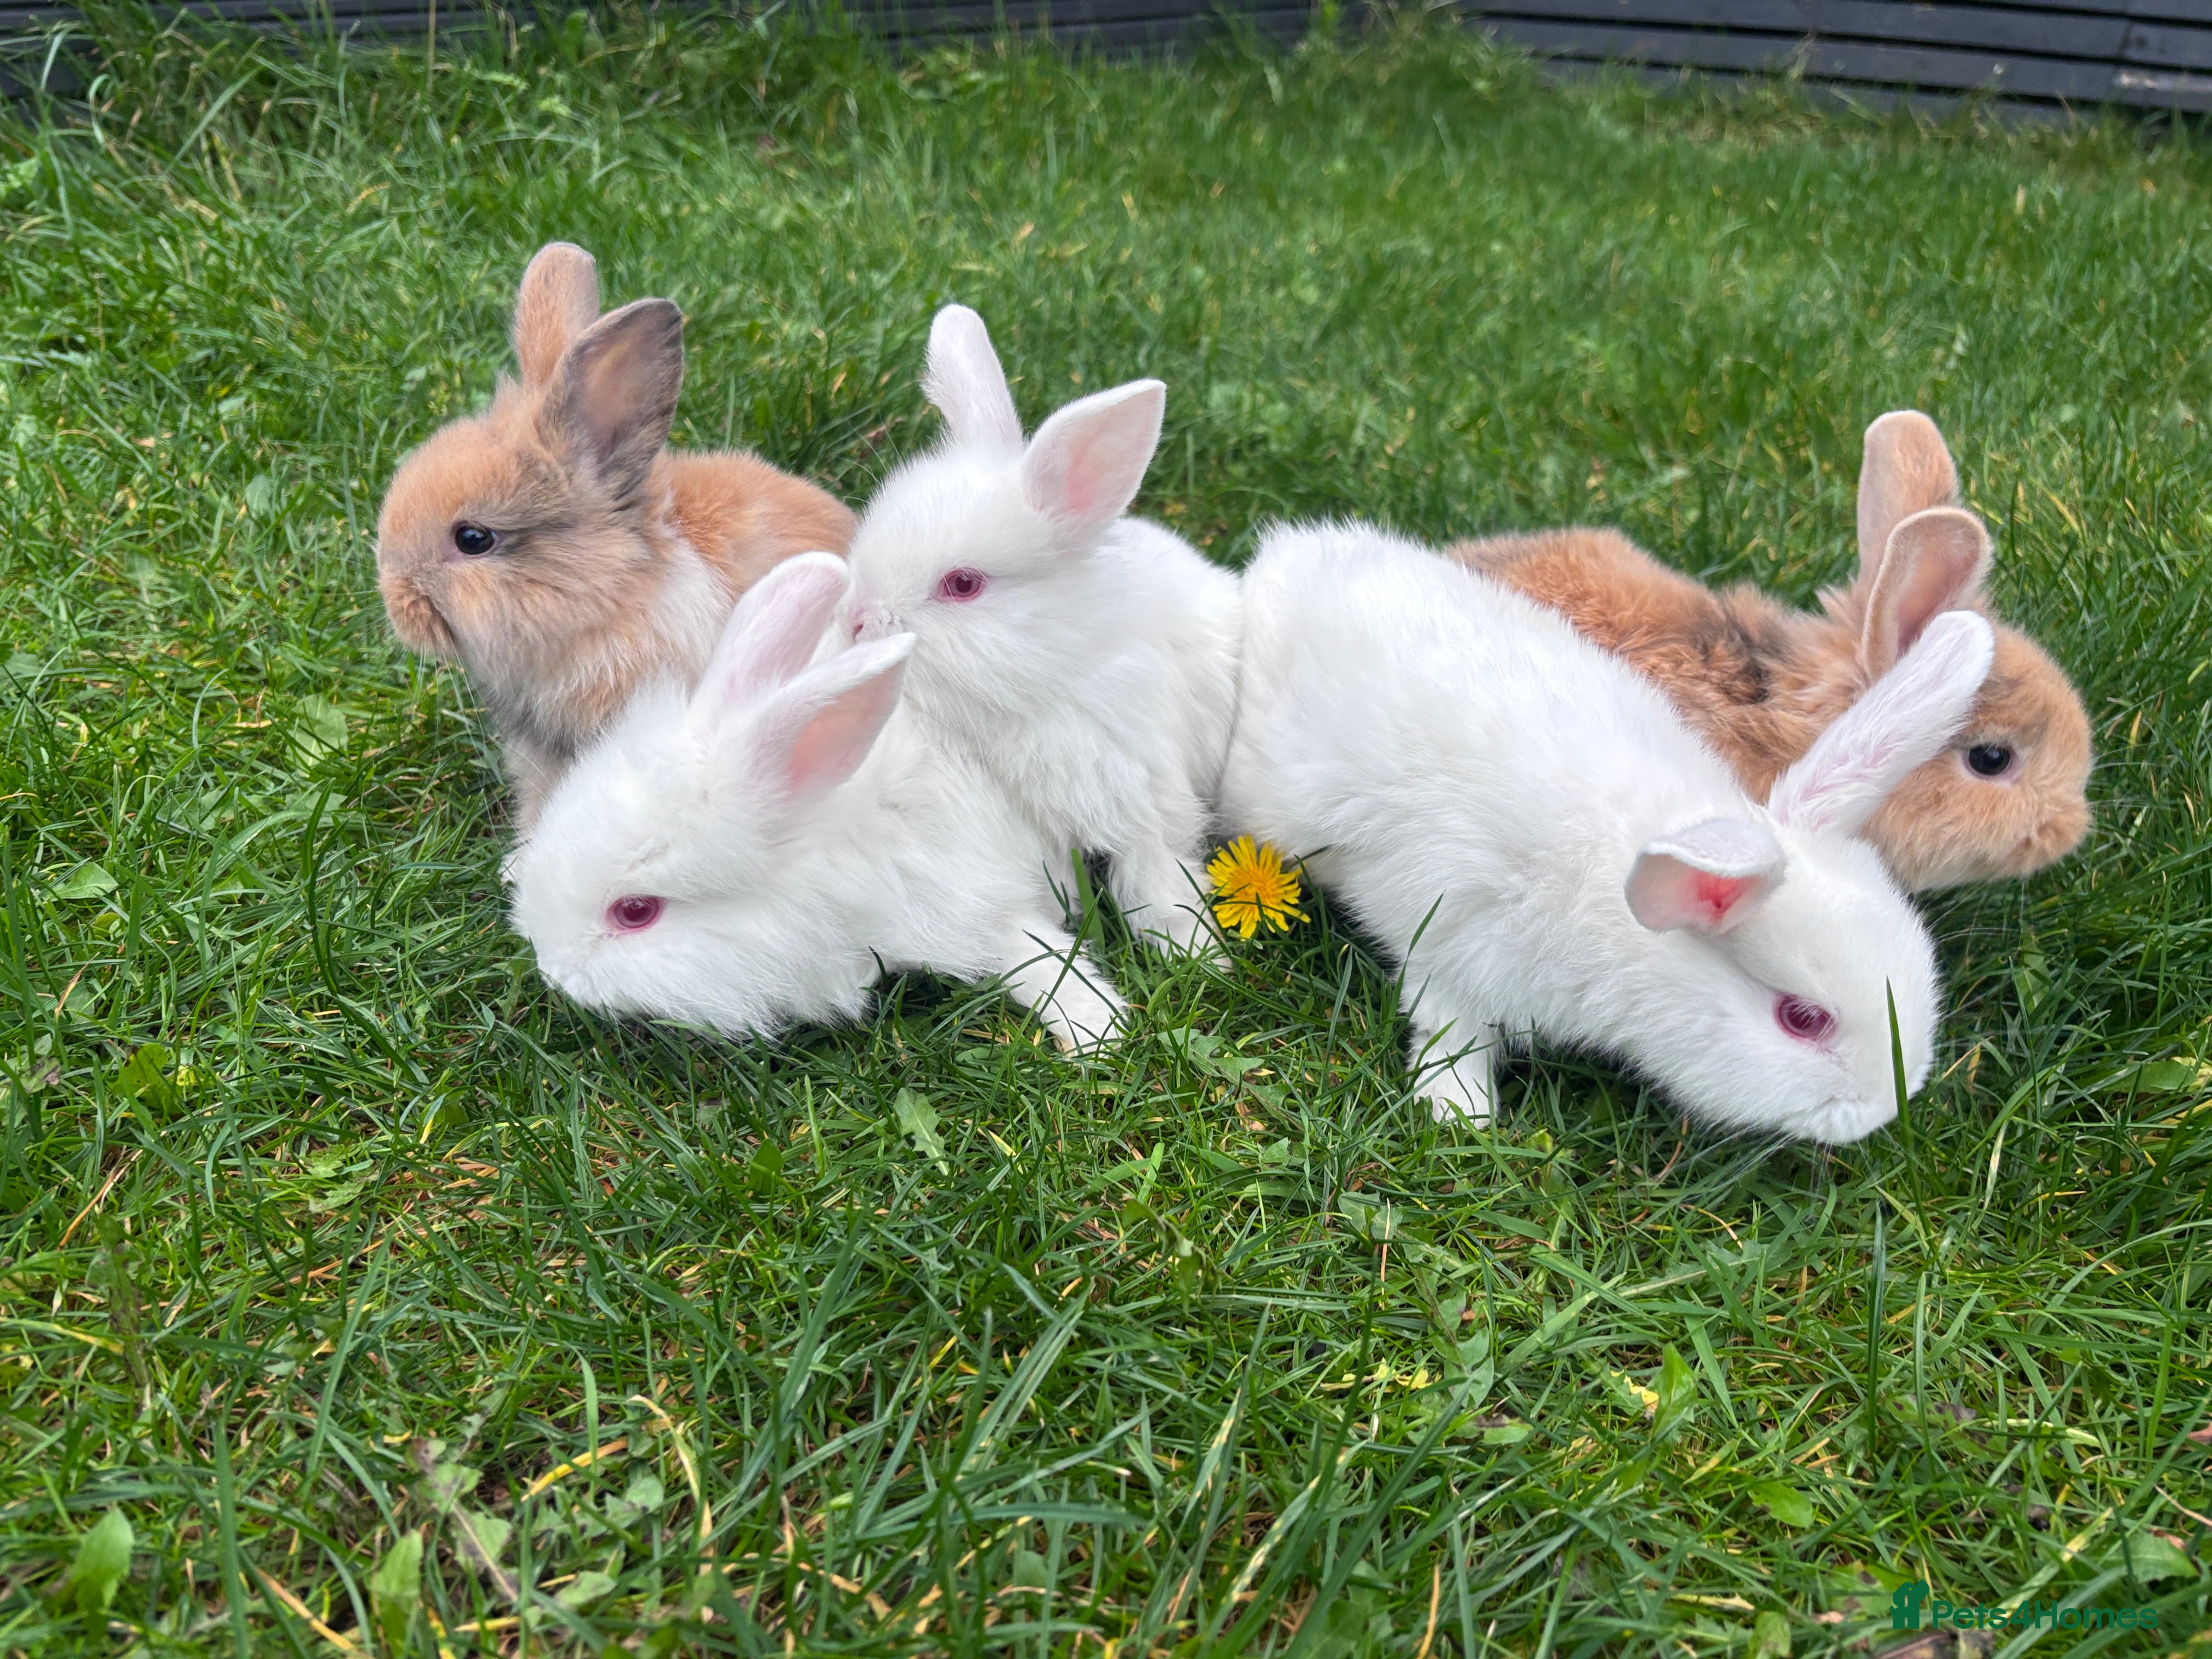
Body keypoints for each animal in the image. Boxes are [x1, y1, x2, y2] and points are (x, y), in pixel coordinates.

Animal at [836, 305, 1243, 953]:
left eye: (963, 584)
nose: (856, 619)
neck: (1047, 677)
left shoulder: (1142, 796)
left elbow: (1158, 879)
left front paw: (1198, 952)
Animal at [1220, 521, 1998, 1144]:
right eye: (1803, 1019)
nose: (1882, 1111)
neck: (1625, 914)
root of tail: (1287, 555)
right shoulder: (1459, 953)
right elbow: (1449, 1032)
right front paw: (1461, 1117)